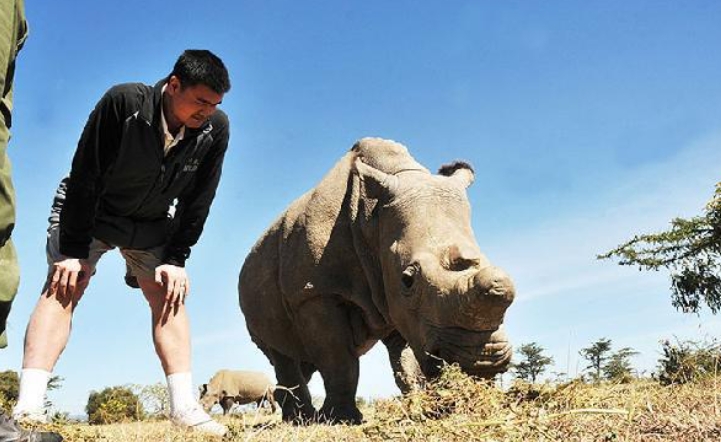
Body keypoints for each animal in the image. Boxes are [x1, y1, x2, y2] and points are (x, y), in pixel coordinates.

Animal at [239, 138, 515, 424]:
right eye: (408, 280)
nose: (483, 363)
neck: (372, 218)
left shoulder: (394, 297)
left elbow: (406, 363)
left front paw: (418, 408)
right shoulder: (315, 292)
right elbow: (339, 360)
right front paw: (342, 419)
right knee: (282, 353)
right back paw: (300, 419)